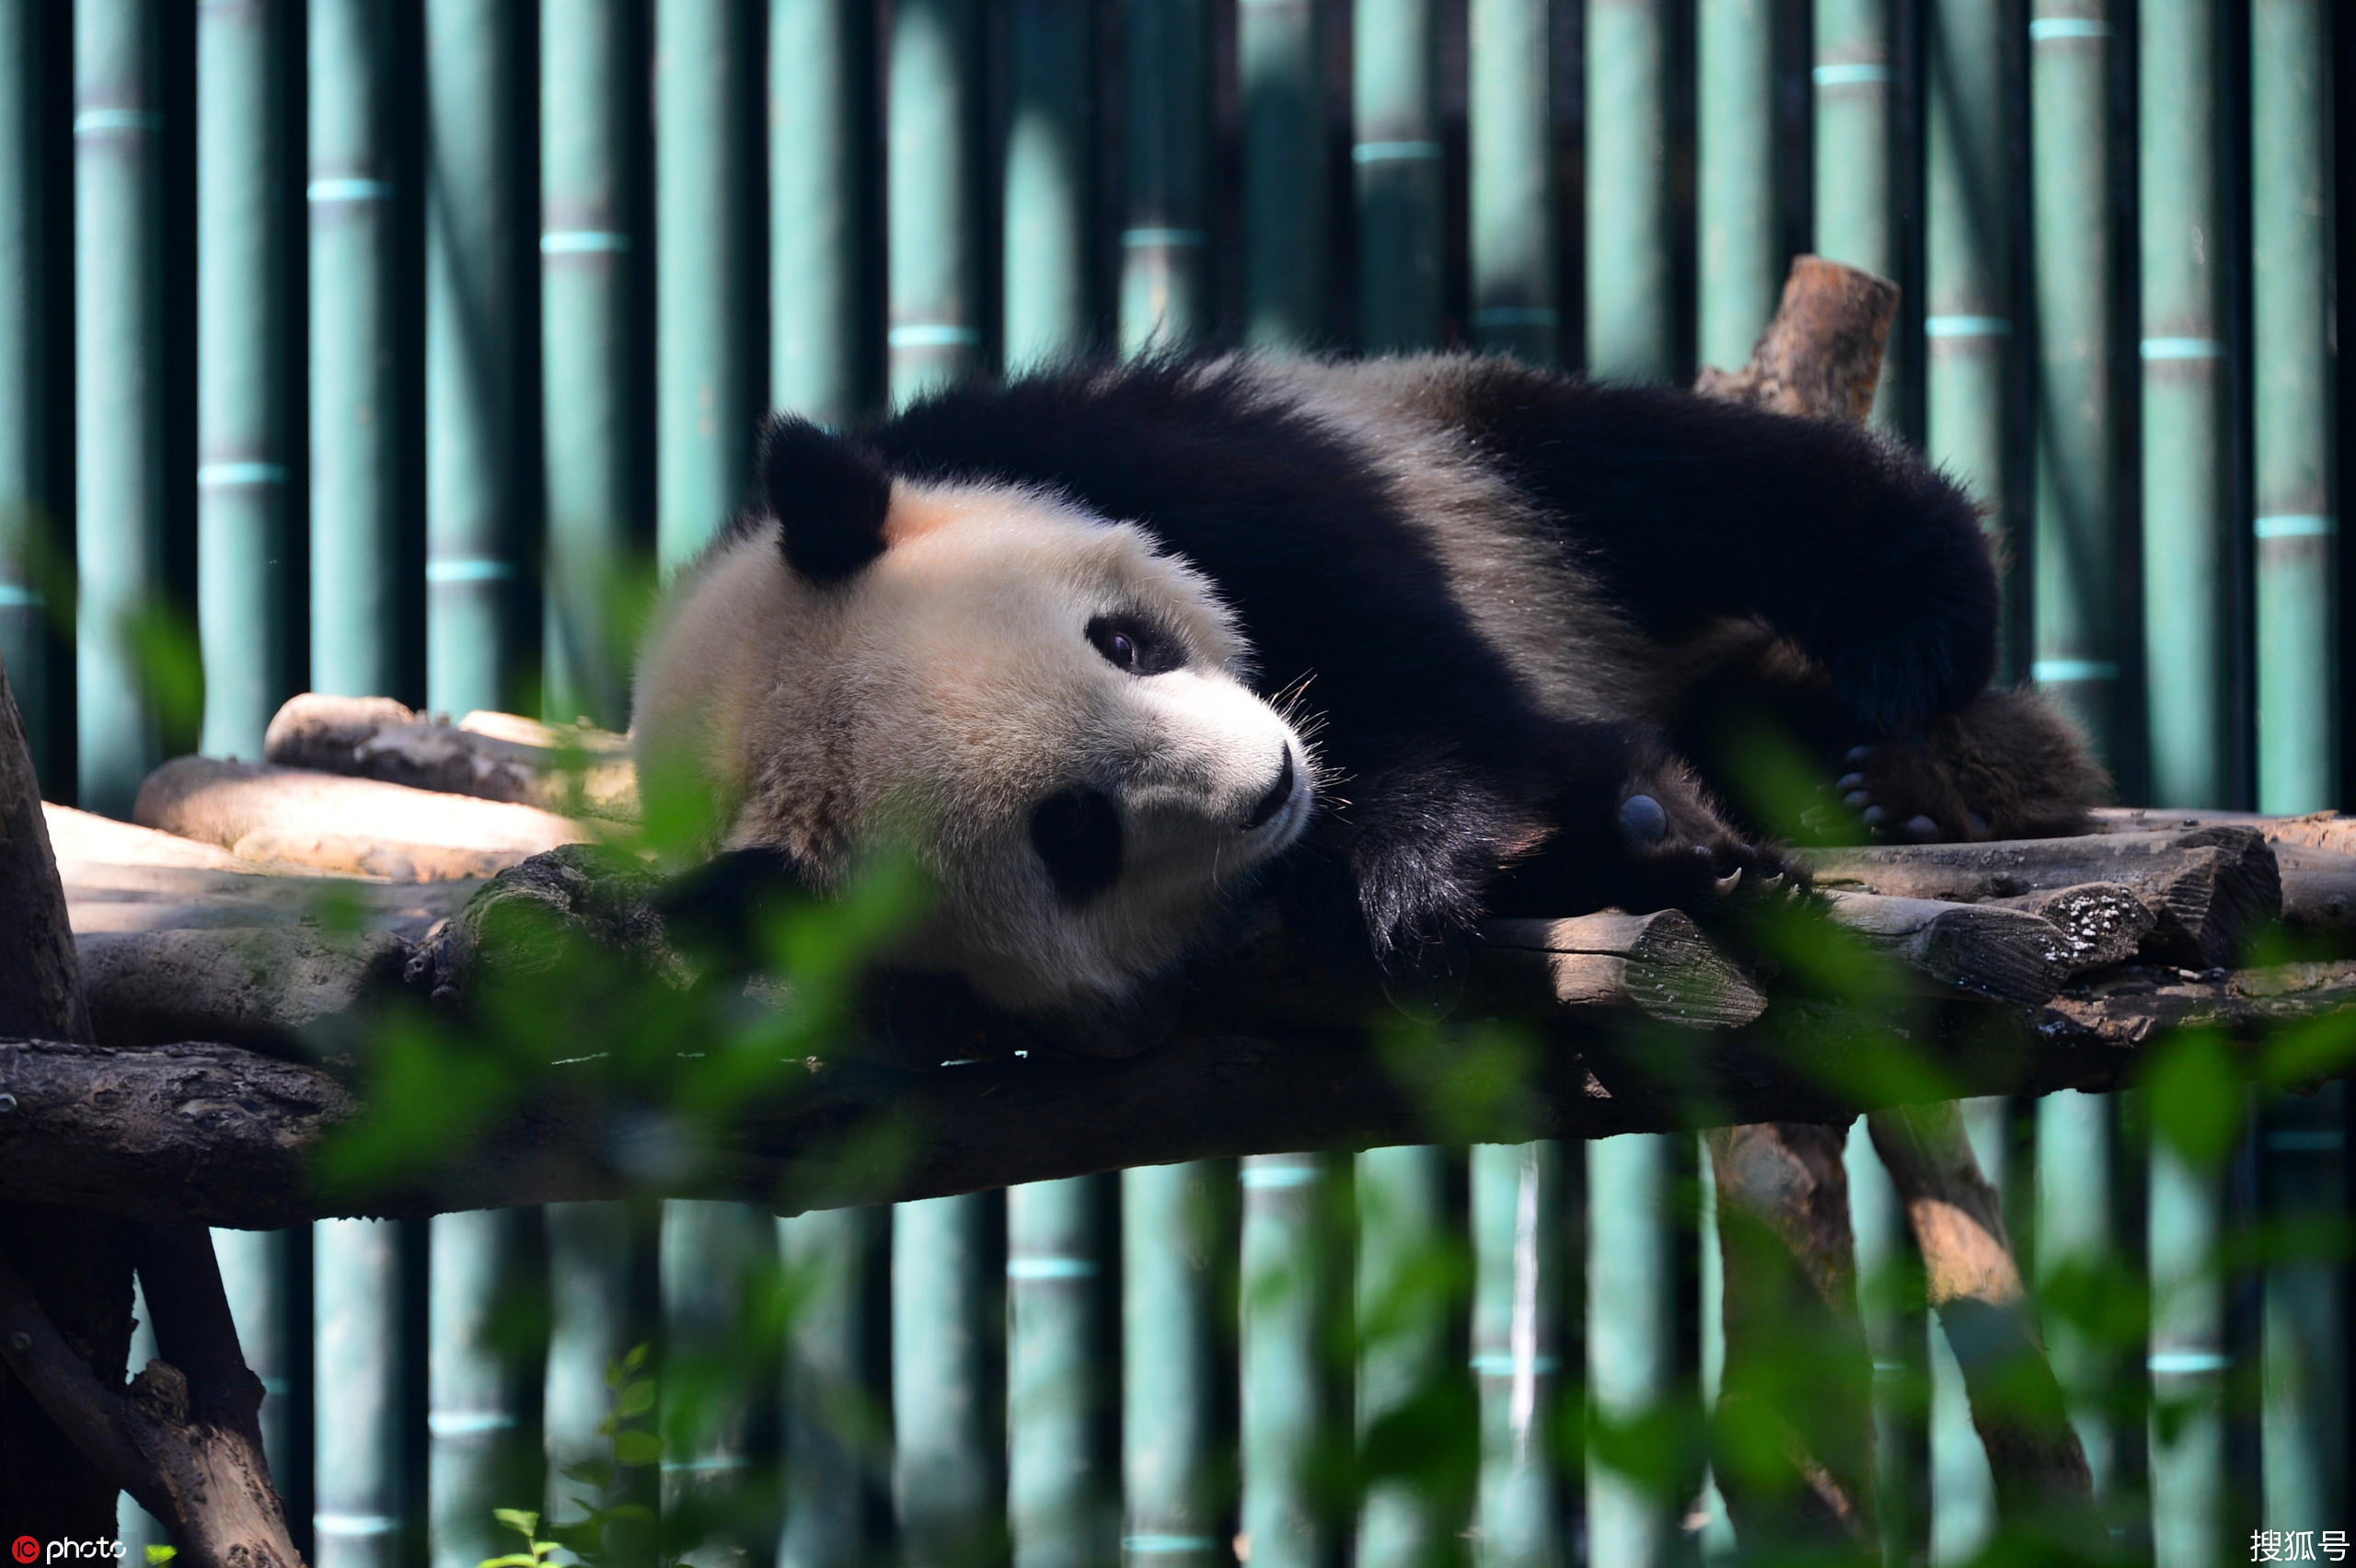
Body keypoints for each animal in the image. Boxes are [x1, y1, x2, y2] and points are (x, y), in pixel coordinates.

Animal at [631, 357, 2101, 1050]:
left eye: (1124, 643)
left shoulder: (1115, 452)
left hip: (1469, 454)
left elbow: (1397, 642)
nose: (1276, 780)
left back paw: (1911, 707)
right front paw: (1645, 838)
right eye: (1073, 836)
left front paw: (1413, 870)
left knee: (1672, 482)